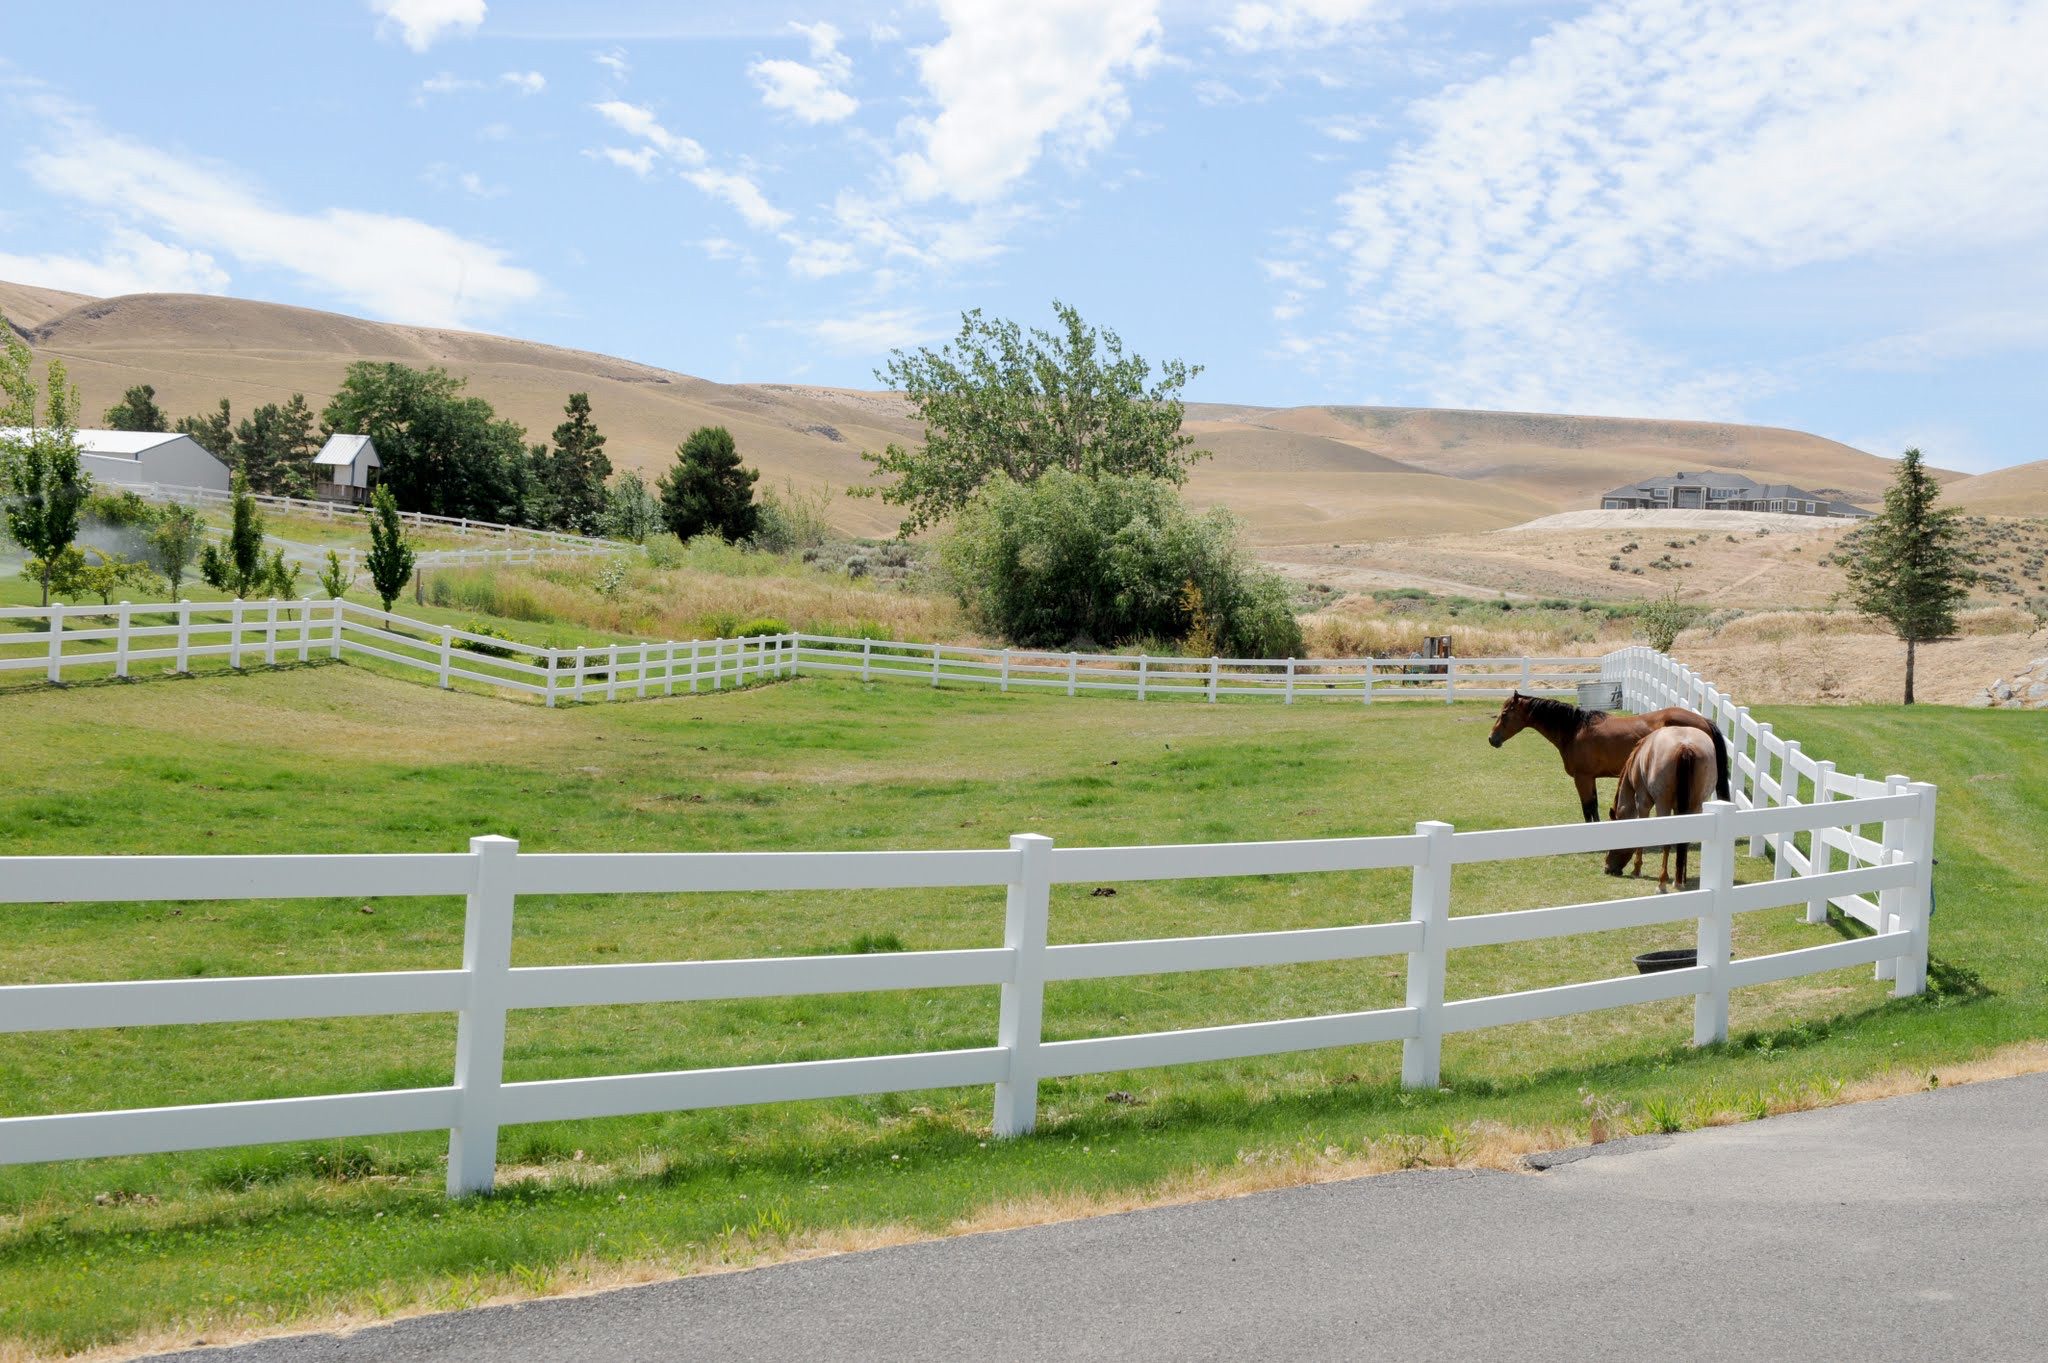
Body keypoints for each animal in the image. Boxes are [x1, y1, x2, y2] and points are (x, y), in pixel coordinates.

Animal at [1490, 691, 1728, 818]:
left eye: (1505, 714)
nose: (1492, 739)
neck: (1574, 729)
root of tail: (1703, 720)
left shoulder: (1583, 778)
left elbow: (1588, 809)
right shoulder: (1590, 778)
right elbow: (1593, 807)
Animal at [1589, 728, 1720, 888]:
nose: (1607, 868)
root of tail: (1685, 746)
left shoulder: (1643, 804)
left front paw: (1636, 869)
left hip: (1663, 805)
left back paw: (1662, 882)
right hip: (1695, 805)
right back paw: (1679, 880)